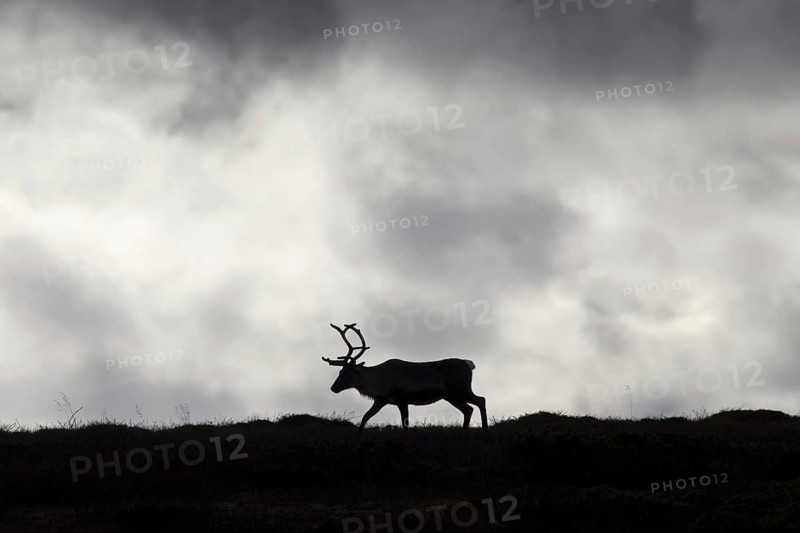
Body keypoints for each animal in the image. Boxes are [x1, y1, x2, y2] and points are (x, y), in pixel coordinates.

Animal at [321, 322, 488, 432]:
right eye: (339, 372)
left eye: (346, 373)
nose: (333, 388)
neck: (378, 382)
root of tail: (469, 364)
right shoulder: (381, 400)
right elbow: (365, 417)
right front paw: (358, 435)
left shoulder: (402, 398)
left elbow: (405, 424)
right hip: (450, 396)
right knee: (468, 409)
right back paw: (464, 433)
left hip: (461, 389)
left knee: (480, 400)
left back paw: (485, 431)